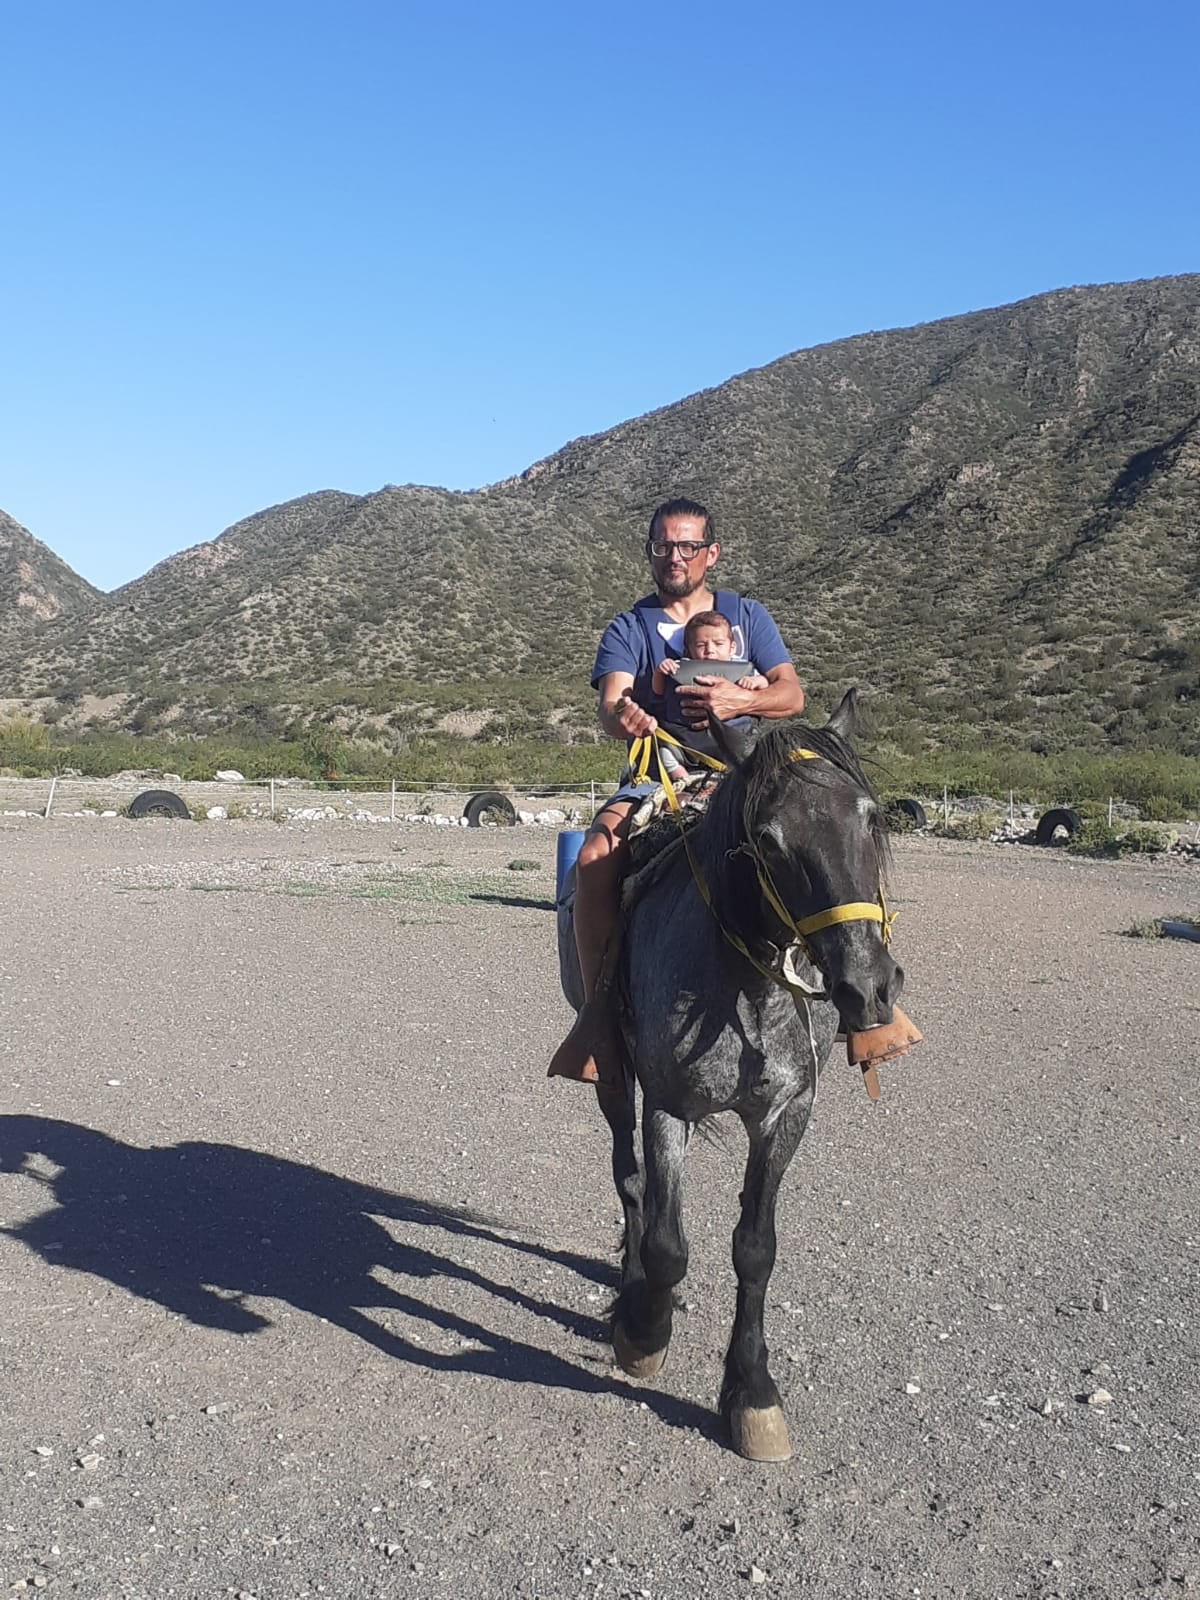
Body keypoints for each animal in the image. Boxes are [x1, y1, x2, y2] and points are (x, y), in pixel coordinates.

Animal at [560, 688, 908, 1465]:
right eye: (770, 841)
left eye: (873, 818)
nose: (868, 987)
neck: (744, 990)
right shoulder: (667, 1106)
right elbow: (666, 1244)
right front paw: (644, 1334)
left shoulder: (786, 1114)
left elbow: (755, 1249)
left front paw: (751, 1392)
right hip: (613, 1078)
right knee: (630, 1181)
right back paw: (633, 1294)